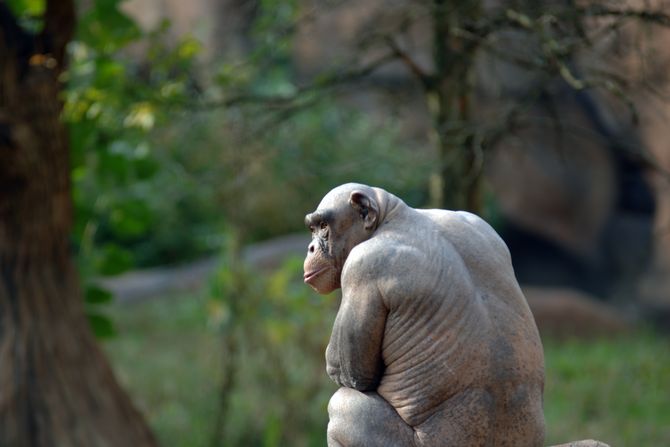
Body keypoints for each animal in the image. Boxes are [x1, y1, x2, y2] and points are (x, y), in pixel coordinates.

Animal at [308, 184, 548, 446]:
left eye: (323, 226)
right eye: (312, 228)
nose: (310, 248)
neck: (391, 215)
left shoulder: (361, 268)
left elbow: (350, 372)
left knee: (342, 407)